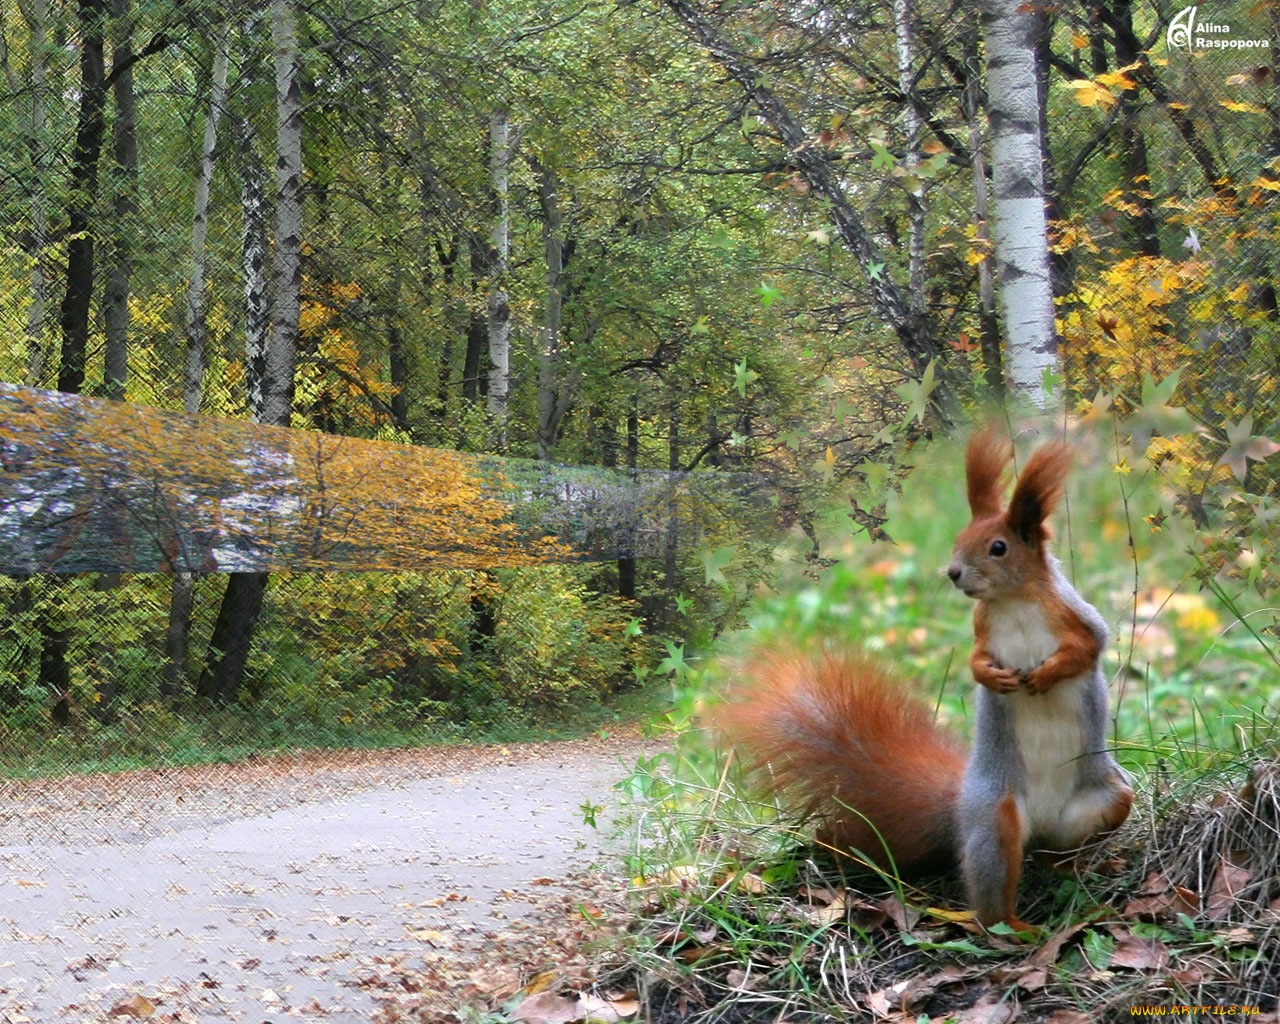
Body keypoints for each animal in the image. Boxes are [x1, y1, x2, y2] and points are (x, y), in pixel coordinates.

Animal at [727, 427, 1136, 931]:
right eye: (959, 538)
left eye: (998, 547)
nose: (954, 573)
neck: (1014, 601)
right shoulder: (983, 628)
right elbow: (975, 660)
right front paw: (991, 677)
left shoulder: (1075, 616)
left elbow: (1090, 647)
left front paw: (1046, 673)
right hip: (995, 819)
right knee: (992, 897)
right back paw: (1017, 927)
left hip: (1104, 802)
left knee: (1057, 850)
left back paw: (1075, 869)